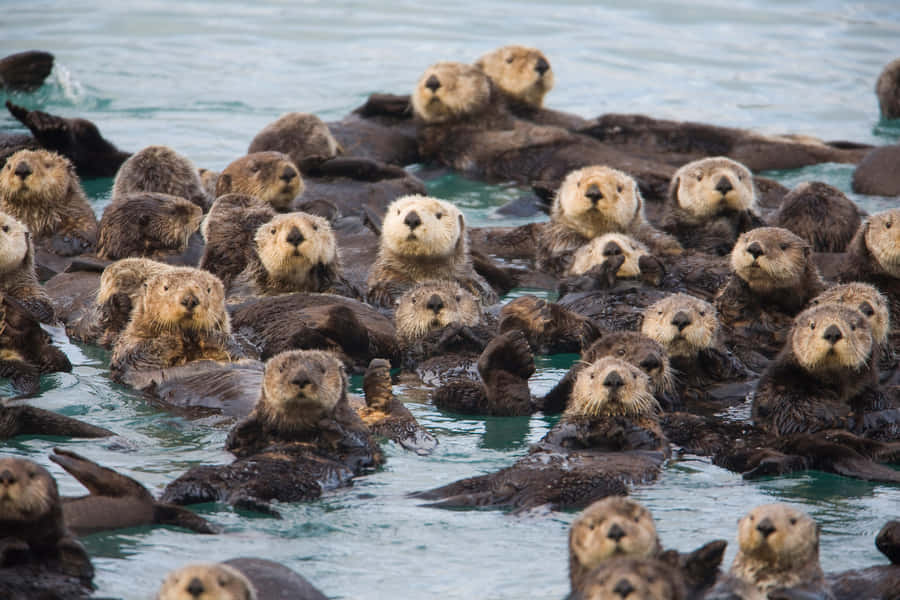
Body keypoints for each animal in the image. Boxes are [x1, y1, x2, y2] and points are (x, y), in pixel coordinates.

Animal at [110, 267, 245, 388]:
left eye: (208, 289)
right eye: (165, 288)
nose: (190, 299)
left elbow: (235, 349)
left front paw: (206, 335)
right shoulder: (128, 346)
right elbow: (135, 356)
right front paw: (172, 338)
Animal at [160, 350, 383, 516]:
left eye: (322, 369)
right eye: (282, 368)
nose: (301, 378)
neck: (297, 431)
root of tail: (225, 490)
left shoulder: (360, 434)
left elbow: (361, 448)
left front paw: (329, 425)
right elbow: (236, 444)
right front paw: (248, 423)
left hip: (290, 484)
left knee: (250, 494)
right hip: (200, 475)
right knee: (186, 485)